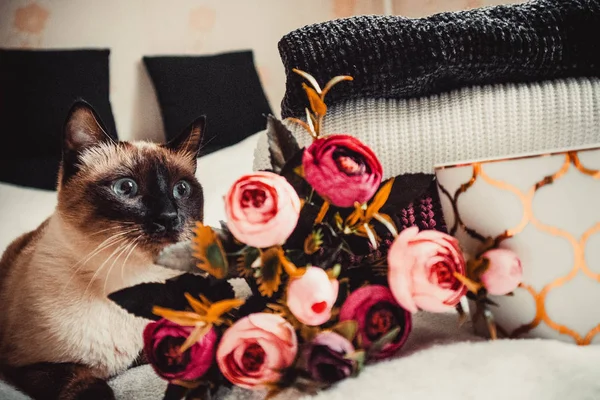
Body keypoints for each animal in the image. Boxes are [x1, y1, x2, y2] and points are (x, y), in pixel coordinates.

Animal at [0, 101, 205, 398]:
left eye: (181, 189)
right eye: (126, 187)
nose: (169, 217)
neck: (129, 279)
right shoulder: (31, 366)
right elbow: (86, 382)